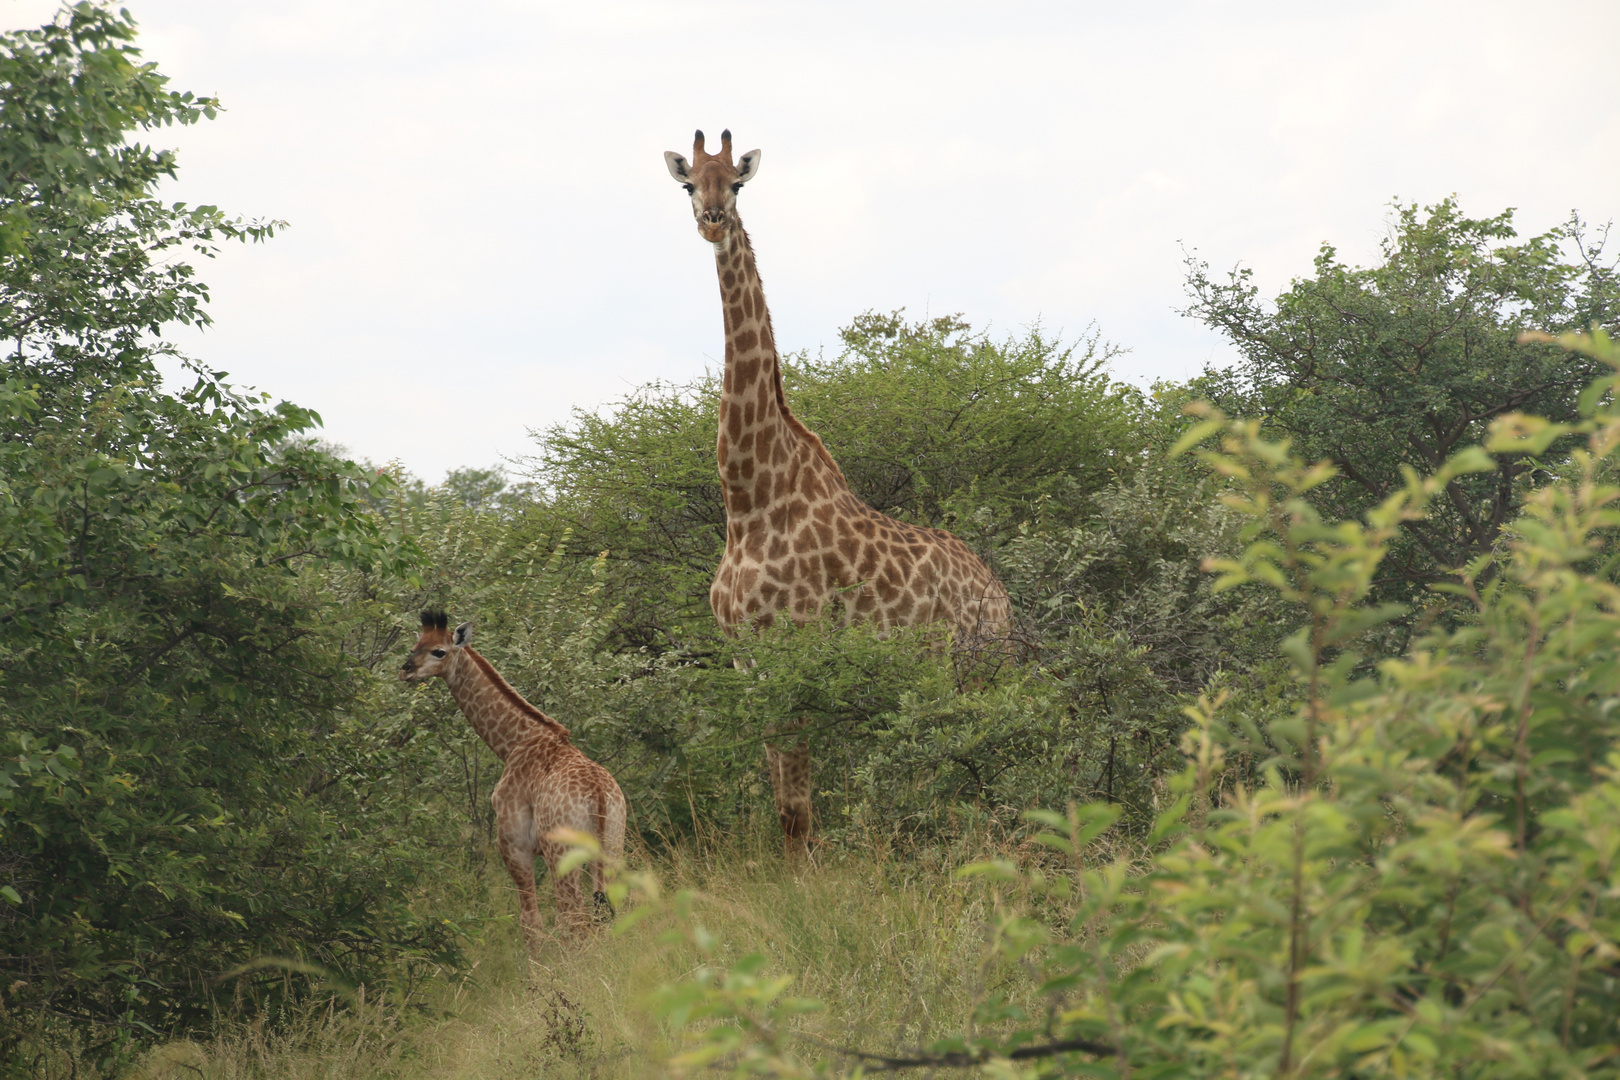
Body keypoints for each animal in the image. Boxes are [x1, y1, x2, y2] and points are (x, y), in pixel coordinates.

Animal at [401, 615, 628, 952]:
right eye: (415, 645)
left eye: (438, 651)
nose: (405, 669)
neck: (512, 743)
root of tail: (598, 795)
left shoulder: (514, 846)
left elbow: (530, 923)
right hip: (613, 846)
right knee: (603, 912)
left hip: (563, 854)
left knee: (574, 917)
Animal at [664, 128, 1004, 854]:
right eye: (688, 185)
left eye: (737, 183)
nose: (713, 222)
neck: (749, 500)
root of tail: (1000, 594)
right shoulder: (747, 661)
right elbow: (781, 801)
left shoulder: (795, 647)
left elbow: (797, 809)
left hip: (972, 666)